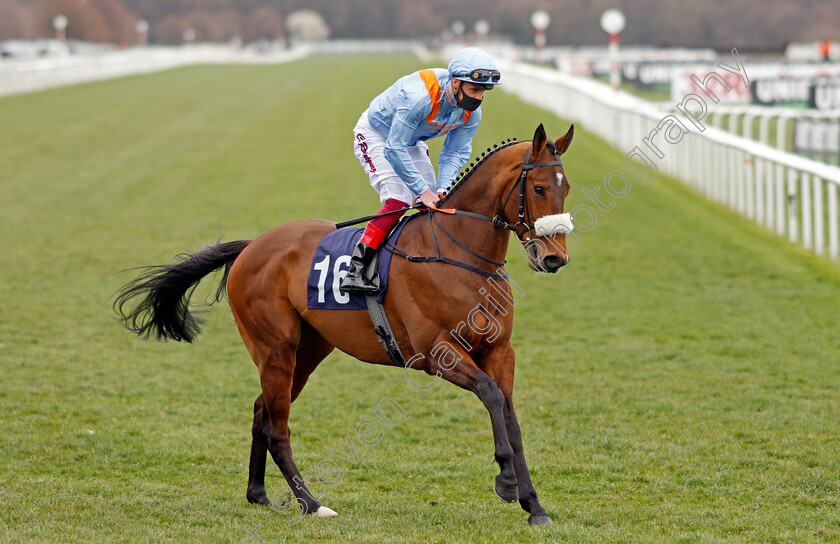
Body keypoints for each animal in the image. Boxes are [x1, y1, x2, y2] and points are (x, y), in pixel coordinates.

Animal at [115, 124, 576, 528]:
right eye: (538, 188)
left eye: (566, 186)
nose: (555, 258)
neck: (459, 252)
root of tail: (252, 246)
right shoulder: (437, 353)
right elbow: (491, 395)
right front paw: (506, 482)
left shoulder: (499, 351)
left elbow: (510, 416)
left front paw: (534, 506)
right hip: (275, 347)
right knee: (277, 426)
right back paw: (311, 503)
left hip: (308, 350)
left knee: (262, 410)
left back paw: (258, 493)